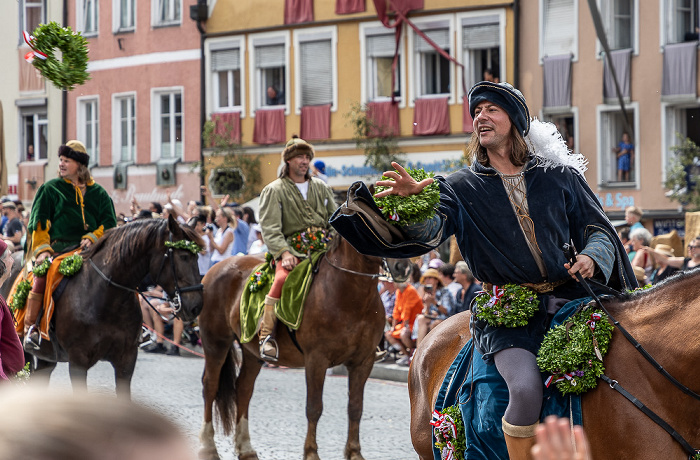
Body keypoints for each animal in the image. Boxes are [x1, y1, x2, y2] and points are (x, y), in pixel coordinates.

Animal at [24, 217, 204, 398]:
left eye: (197, 257)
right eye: (183, 256)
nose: (196, 306)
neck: (107, 301)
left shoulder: (126, 360)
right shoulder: (78, 361)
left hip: (46, 358)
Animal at [197, 237, 404, 460]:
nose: (403, 266)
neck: (350, 295)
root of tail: (217, 267)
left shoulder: (363, 362)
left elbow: (355, 407)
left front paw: (354, 452)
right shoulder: (316, 360)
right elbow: (314, 407)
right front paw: (311, 452)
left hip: (251, 352)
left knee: (243, 388)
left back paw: (245, 448)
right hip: (216, 342)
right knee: (210, 386)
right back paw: (208, 446)